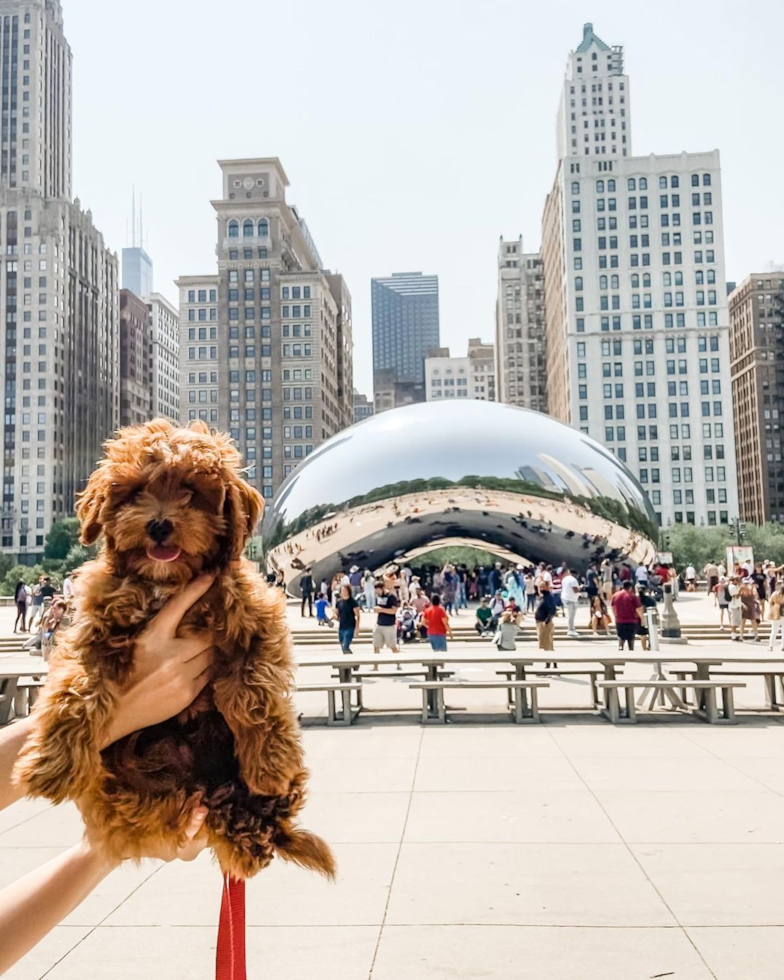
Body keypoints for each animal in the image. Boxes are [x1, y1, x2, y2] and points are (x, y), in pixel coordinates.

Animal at [14, 420, 334, 880]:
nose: (159, 525)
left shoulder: (254, 621)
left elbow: (254, 693)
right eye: (133, 492)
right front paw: (48, 764)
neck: (166, 583)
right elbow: (77, 688)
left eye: (191, 491)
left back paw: (257, 814)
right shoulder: (95, 628)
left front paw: (271, 764)